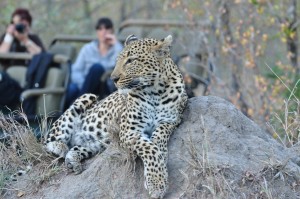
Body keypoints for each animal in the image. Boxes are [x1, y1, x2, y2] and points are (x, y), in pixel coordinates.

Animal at [44, 34, 188, 197]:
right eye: (118, 60)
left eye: (131, 60)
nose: (113, 79)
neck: (155, 91)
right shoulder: (128, 131)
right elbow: (149, 148)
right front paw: (157, 183)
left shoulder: (171, 121)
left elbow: (159, 137)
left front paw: (161, 155)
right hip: (86, 97)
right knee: (49, 140)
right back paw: (59, 147)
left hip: (98, 143)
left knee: (76, 147)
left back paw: (72, 161)